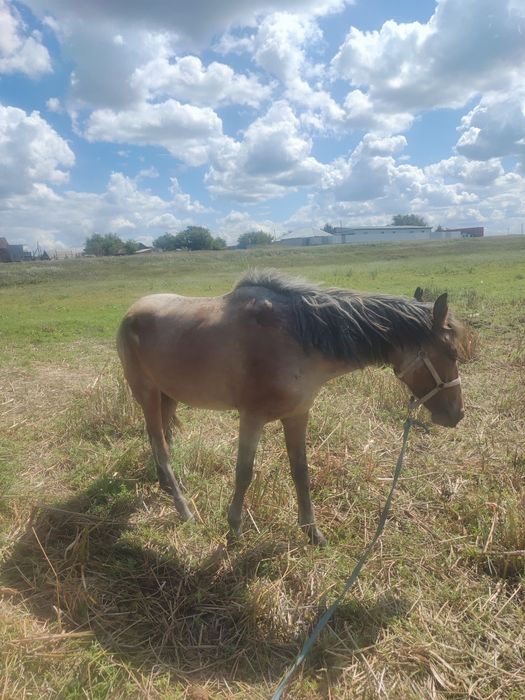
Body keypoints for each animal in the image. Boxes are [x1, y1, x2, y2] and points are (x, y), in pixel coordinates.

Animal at [117, 269, 464, 546]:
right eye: (451, 352)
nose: (456, 414)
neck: (296, 338)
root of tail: (131, 312)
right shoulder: (251, 418)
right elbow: (244, 473)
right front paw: (234, 529)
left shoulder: (298, 415)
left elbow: (301, 471)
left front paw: (312, 531)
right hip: (147, 395)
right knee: (160, 446)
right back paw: (184, 509)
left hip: (168, 396)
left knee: (161, 440)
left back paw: (166, 485)